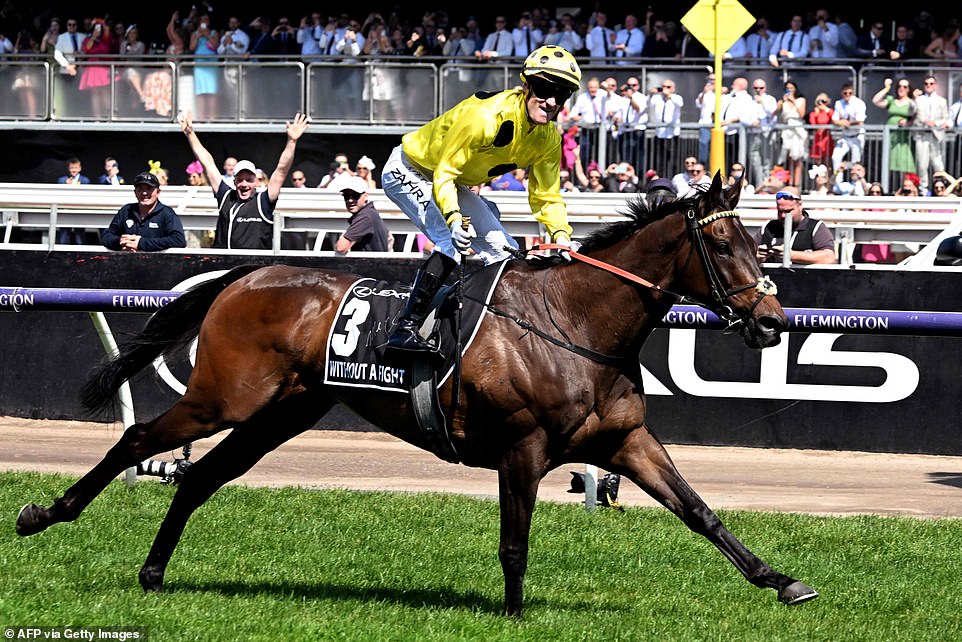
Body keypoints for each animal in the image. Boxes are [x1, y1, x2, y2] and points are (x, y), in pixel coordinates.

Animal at [16, 172, 816, 612]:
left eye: (761, 242)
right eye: (724, 245)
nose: (773, 321)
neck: (575, 322)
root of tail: (246, 272)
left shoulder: (626, 441)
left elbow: (701, 512)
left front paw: (781, 580)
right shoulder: (522, 447)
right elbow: (515, 543)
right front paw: (515, 614)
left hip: (282, 413)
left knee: (200, 476)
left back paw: (153, 572)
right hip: (224, 397)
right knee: (138, 440)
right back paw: (44, 514)